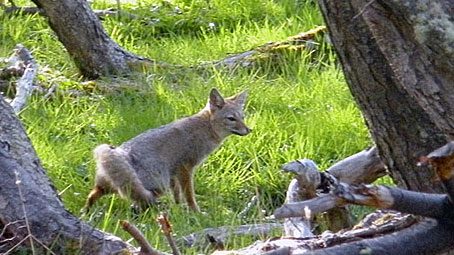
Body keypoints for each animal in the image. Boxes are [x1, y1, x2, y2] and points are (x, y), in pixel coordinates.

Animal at [83, 88, 250, 212]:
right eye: (231, 118)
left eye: (242, 117)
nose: (249, 130)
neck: (205, 127)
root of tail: (119, 153)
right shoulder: (185, 168)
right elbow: (189, 195)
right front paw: (195, 212)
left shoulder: (174, 173)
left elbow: (177, 194)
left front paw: (178, 209)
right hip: (157, 186)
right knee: (140, 204)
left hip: (110, 187)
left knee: (92, 195)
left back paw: (86, 213)